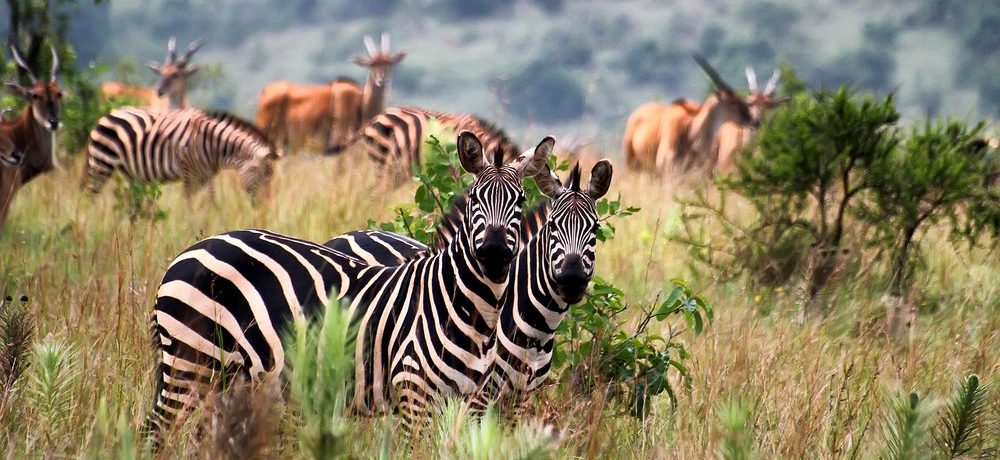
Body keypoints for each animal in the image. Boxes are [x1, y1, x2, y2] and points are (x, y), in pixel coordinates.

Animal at [83, 107, 282, 201]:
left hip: (129, 172)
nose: (265, 207)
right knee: (92, 196)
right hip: (102, 163)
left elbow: (211, 200)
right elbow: (189, 203)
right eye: (264, 175)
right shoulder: (189, 172)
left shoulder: (205, 175)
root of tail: (109, 114)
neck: (213, 142)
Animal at [145, 131, 553, 443]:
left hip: (225, 376)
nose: (495, 253)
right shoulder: (414, 395)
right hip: (190, 359)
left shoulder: (469, 403)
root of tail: (190, 251)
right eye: (474, 199)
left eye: (520, 201)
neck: (469, 310)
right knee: (157, 431)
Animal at [325, 160, 614, 409]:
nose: (572, 280)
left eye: (595, 230)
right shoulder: (477, 395)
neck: (537, 330)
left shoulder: (519, 400)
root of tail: (346, 235)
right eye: (553, 226)